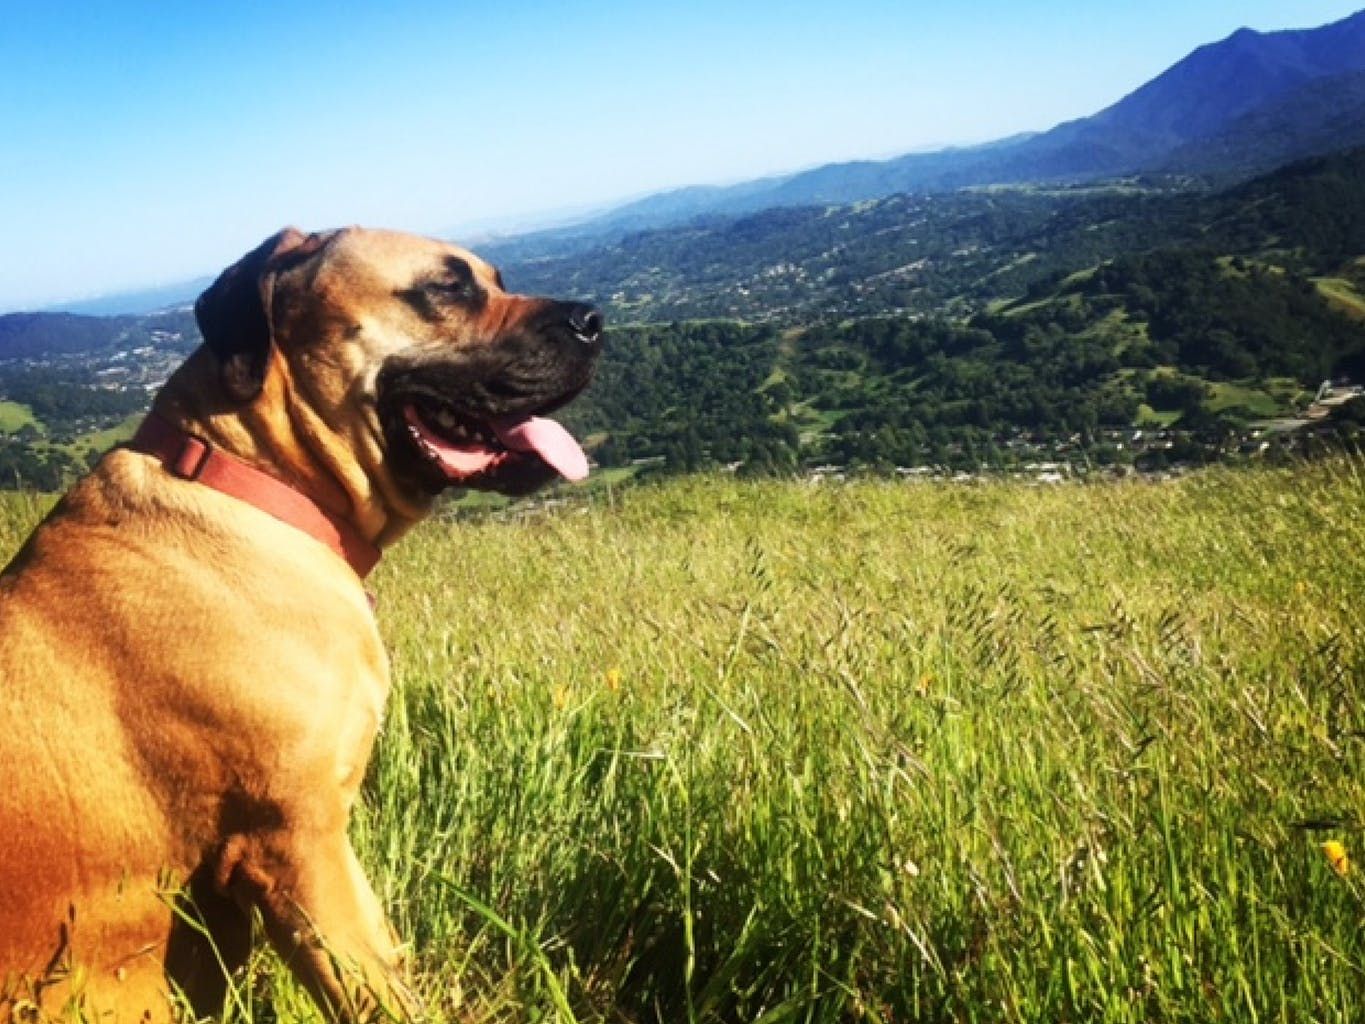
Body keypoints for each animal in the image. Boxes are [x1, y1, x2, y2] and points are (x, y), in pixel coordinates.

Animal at [0, 227, 602, 1021]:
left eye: (494, 278)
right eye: (445, 288)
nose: (594, 320)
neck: (256, 485)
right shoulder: (296, 845)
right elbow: (373, 991)